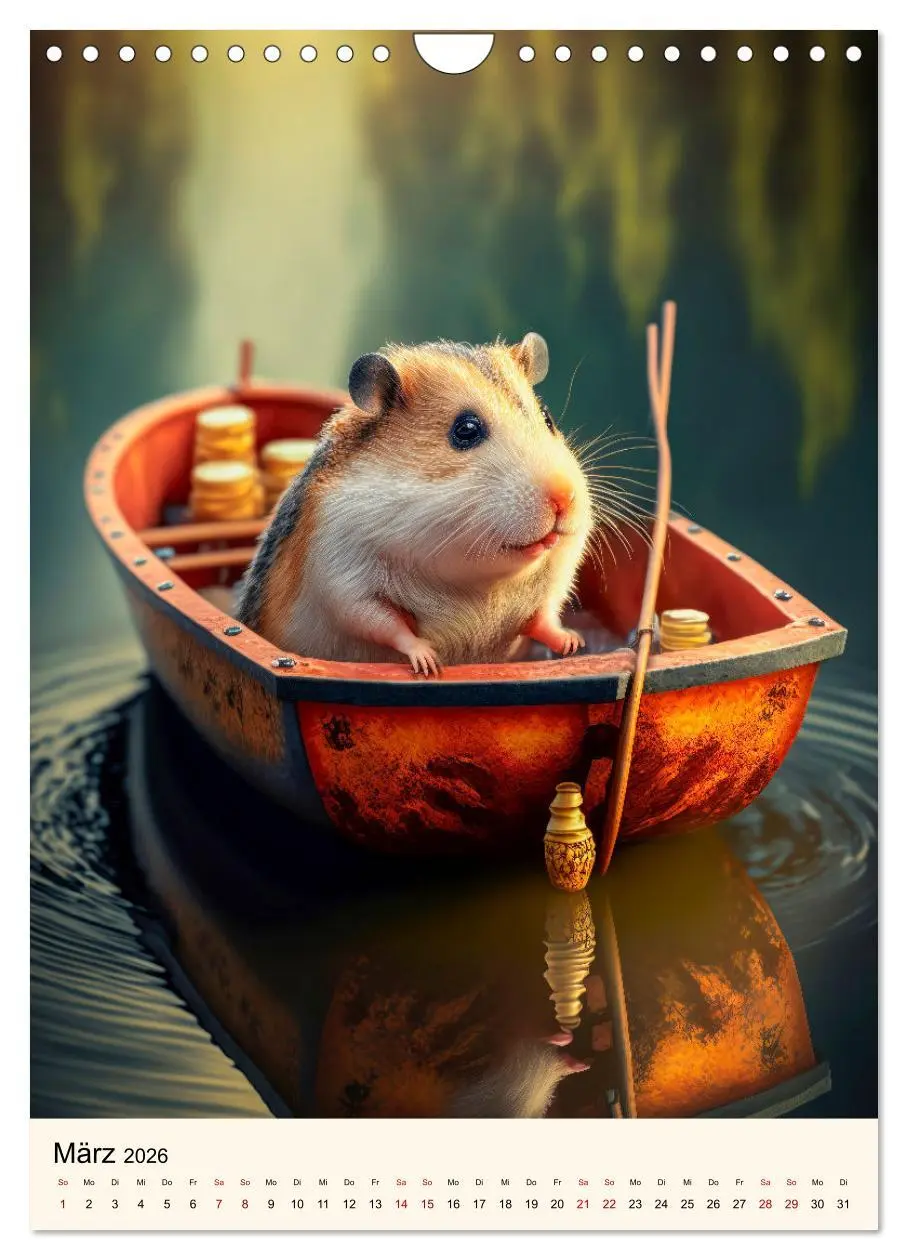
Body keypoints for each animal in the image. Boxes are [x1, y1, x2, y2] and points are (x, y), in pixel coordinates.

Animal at [236, 335, 594, 676]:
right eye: (466, 429)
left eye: (547, 419)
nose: (564, 498)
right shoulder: (343, 577)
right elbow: (385, 623)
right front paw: (429, 663)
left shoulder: (558, 576)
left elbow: (545, 614)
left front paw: (573, 643)